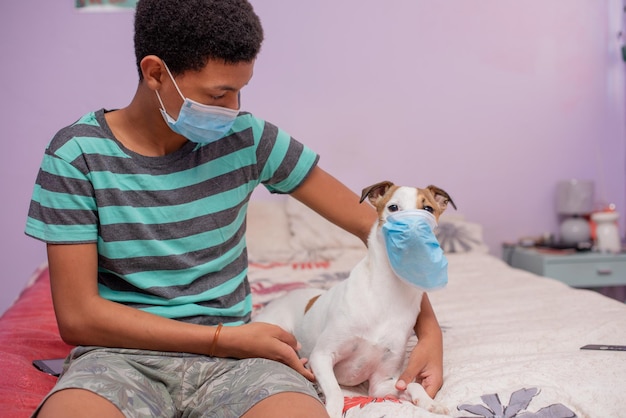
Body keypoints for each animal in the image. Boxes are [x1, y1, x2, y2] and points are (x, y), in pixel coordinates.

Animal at [254, 181, 454, 416]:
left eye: (428, 209)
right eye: (393, 207)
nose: (412, 231)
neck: (387, 292)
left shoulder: (381, 384)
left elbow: (411, 385)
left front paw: (429, 402)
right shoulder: (321, 357)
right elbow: (336, 392)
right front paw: (331, 410)